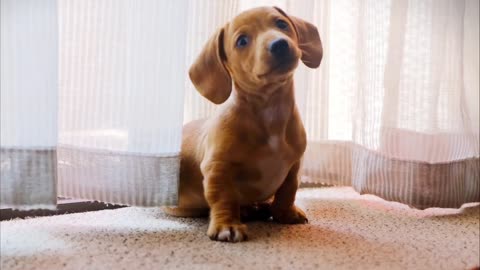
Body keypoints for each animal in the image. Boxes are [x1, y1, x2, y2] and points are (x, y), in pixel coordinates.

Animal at [165, 6, 322, 243]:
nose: (279, 44)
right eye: (242, 41)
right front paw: (226, 225)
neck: (270, 112)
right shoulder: (218, 168)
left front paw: (285, 213)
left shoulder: (295, 165)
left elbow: (288, 191)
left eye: (281, 24)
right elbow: (224, 198)